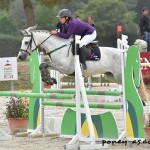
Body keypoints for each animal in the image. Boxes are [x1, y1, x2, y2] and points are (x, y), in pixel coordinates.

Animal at [17, 25, 149, 101]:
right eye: (22, 41)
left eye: (26, 42)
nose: (20, 57)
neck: (57, 46)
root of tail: (124, 53)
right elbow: (43, 66)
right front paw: (49, 79)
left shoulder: (64, 67)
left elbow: (44, 65)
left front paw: (48, 80)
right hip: (112, 76)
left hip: (120, 75)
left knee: (134, 86)